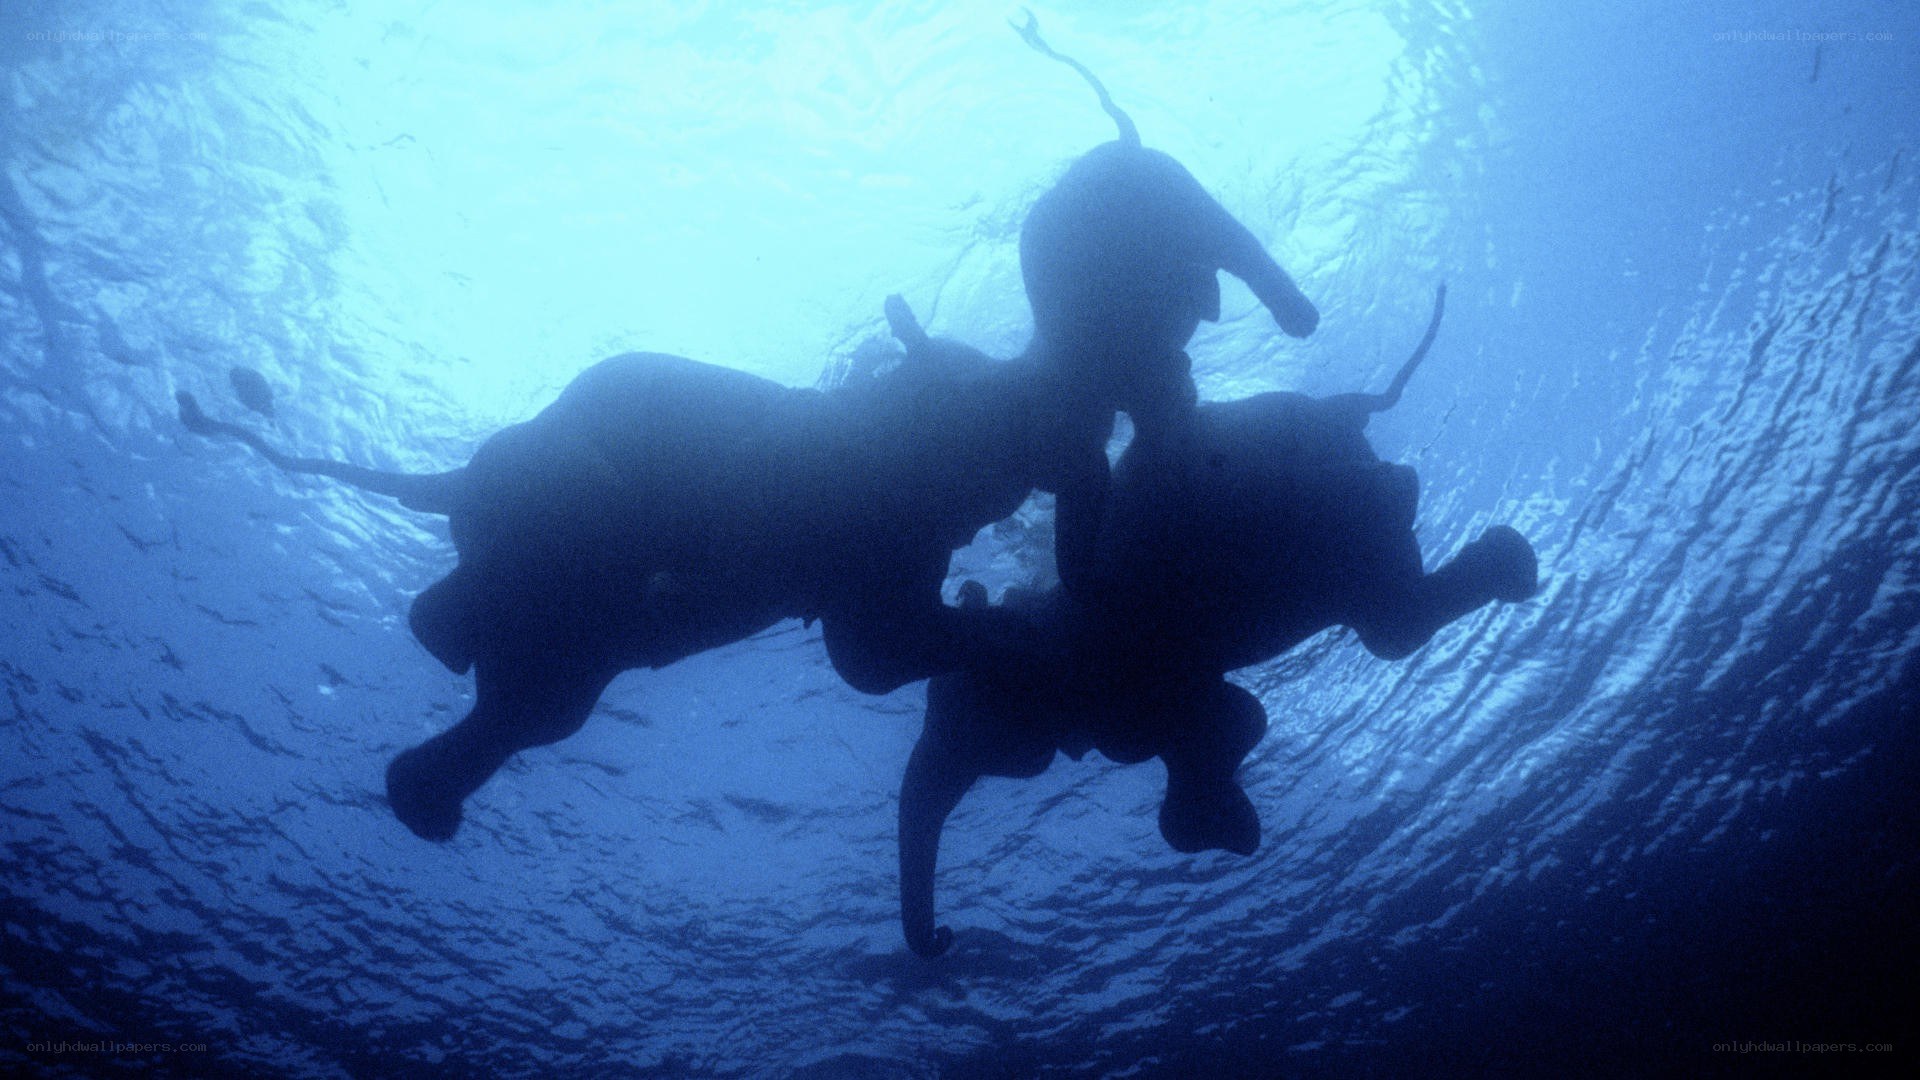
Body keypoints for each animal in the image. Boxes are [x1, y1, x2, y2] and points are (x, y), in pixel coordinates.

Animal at [896, 286, 1541, 957]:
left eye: (961, 719)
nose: (944, 937)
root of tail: (1349, 410)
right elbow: (1226, 722)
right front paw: (1233, 828)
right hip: (1362, 551)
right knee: (1393, 624)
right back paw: (1510, 562)